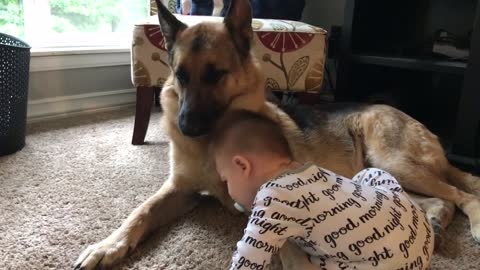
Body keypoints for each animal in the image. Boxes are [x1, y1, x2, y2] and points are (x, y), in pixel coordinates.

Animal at [74, 0, 480, 268]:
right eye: (181, 74)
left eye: (215, 74)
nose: (186, 128)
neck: (212, 144)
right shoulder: (179, 190)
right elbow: (140, 211)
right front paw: (107, 246)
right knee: (441, 200)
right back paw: (437, 221)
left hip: (391, 159)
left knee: (464, 193)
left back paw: (471, 223)